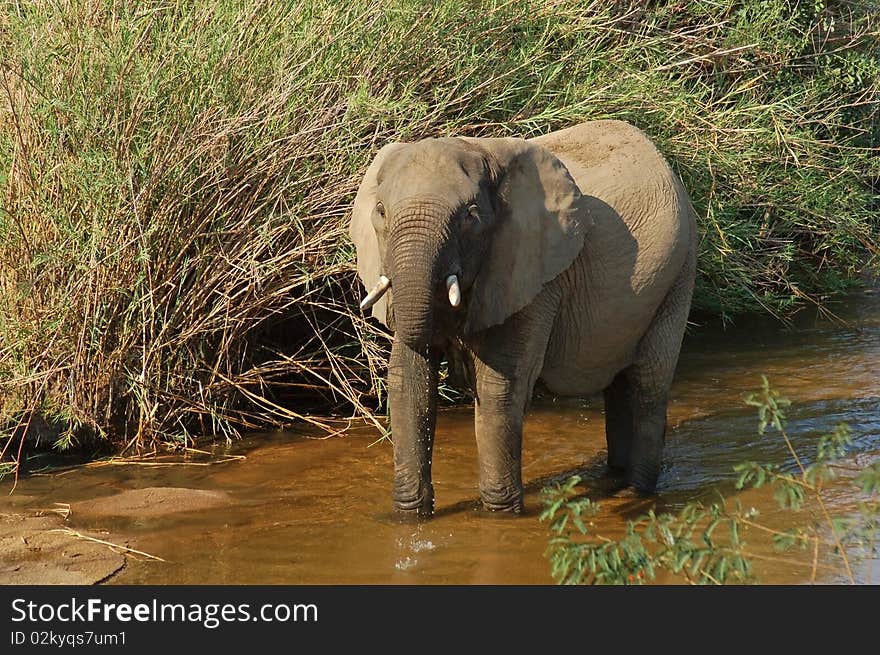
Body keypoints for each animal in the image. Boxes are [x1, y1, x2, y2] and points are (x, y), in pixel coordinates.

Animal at [348, 120, 696, 516]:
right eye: (380, 211)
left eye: (470, 216)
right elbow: (409, 380)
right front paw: (410, 517)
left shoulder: (533, 274)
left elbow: (499, 386)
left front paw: (500, 515)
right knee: (620, 385)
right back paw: (617, 482)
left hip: (679, 274)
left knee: (647, 385)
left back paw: (637, 492)